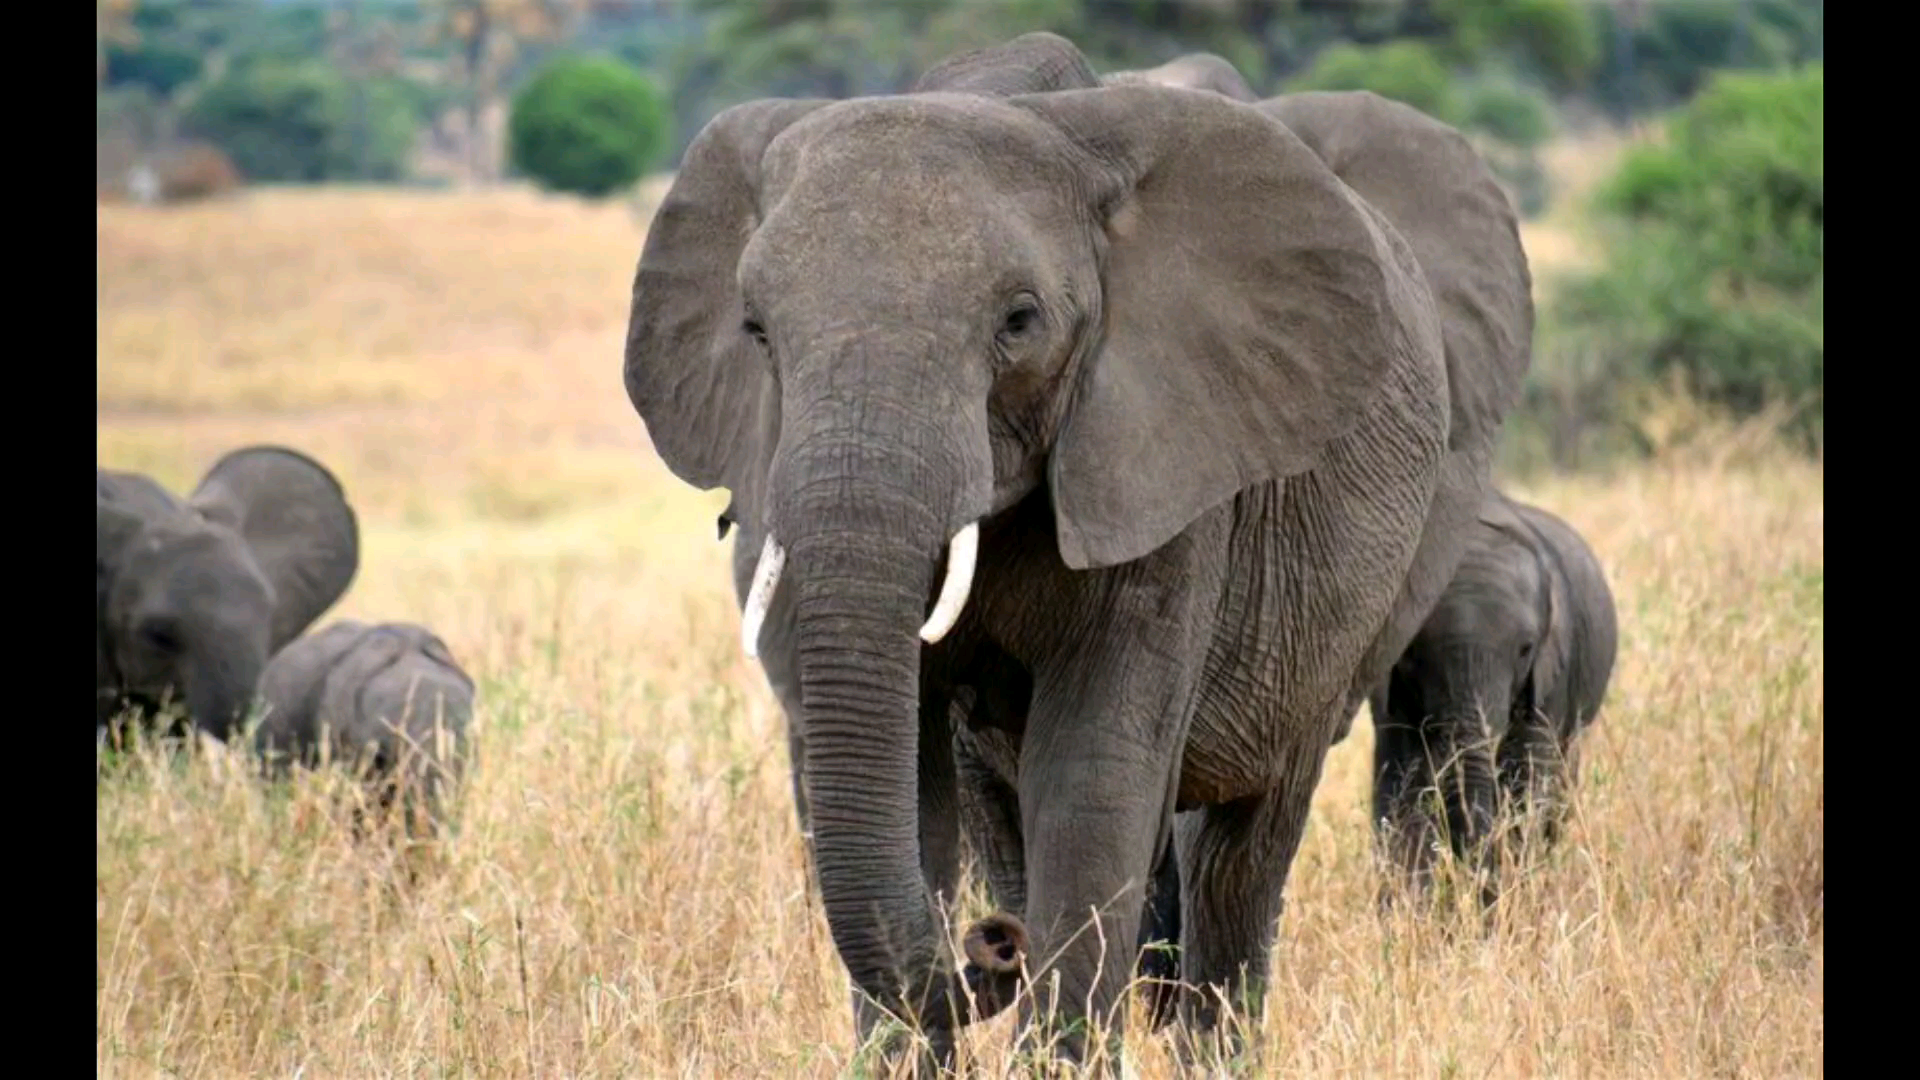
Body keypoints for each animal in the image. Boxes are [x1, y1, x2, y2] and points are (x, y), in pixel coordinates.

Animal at [625, 29, 1528, 1060]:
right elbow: (915, 774)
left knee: (1243, 845)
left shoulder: (1164, 453)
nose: (991, 947)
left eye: (1019, 322)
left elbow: (1092, 775)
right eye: (757, 330)